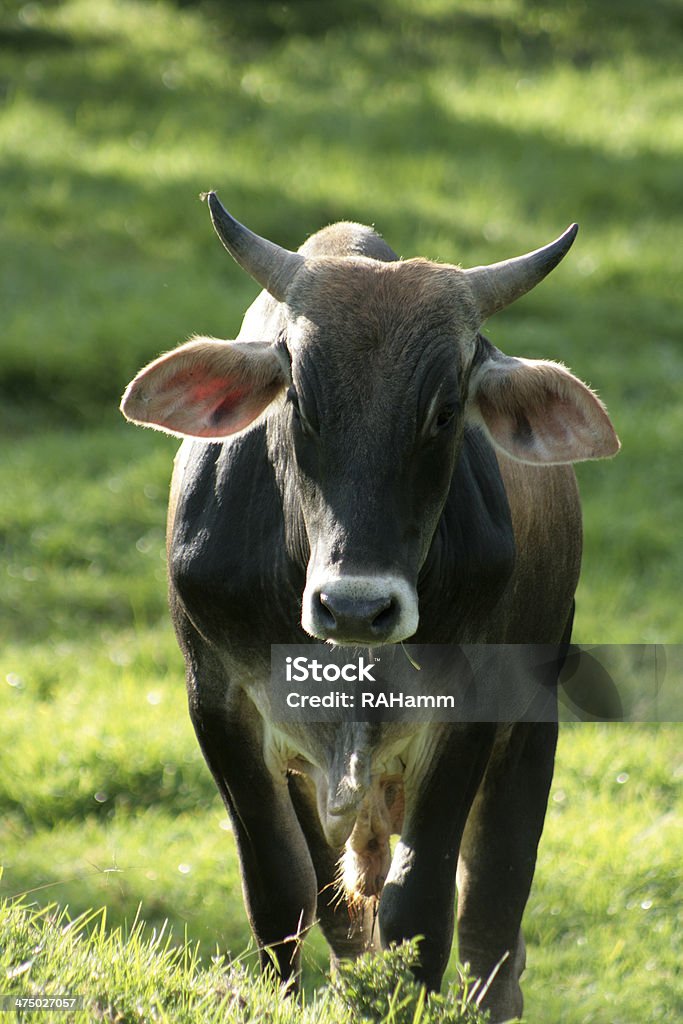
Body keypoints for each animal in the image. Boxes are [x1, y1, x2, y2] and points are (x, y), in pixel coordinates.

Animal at [121, 193, 618, 1024]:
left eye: (445, 410)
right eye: (298, 398)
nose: (356, 606)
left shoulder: (467, 713)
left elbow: (420, 911)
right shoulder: (220, 706)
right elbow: (281, 897)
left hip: (528, 729)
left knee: (491, 921)